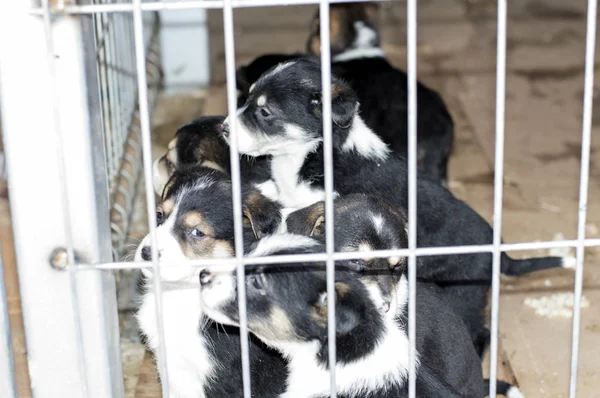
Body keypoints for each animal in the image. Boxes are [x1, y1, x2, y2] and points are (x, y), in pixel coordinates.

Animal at [221, 56, 572, 308]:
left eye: (265, 112)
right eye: (246, 98)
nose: (223, 128)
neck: (310, 152)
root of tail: (500, 253)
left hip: (465, 290)